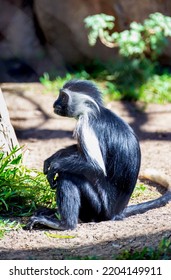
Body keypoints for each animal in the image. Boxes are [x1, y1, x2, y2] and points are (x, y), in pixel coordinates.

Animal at [27, 80, 171, 231]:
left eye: (63, 97)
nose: (55, 104)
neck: (93, 111)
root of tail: (116, 212)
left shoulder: (86, 125)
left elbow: (95, 167)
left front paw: (55, 165)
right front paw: (54, 156)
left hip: (99, 207)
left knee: (69, 176)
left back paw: (64, 224)